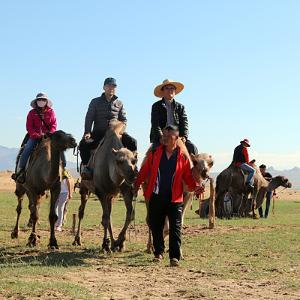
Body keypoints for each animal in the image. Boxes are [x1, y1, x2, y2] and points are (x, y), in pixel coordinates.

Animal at [73, 120, 138, 252]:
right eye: (119, 161)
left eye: (134, 160)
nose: (132, 176)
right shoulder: (101, 192)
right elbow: (105, 218)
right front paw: (106, 244)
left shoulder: (124, 191)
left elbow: (130, 214)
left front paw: (120, 242)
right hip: (84, 187)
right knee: (82, 211)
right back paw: (77, 240)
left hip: (110, 195)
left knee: (110, 215)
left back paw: (113, 243)